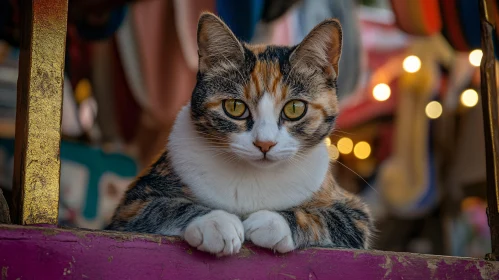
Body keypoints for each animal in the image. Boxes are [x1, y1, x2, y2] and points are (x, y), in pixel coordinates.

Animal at [107, 13, 374, 258]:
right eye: (234, 107)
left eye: (295, 108)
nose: (265, 143)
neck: (253, 177)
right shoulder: (131, 205)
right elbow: (162, 208)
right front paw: (216, 222)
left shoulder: (355, 214)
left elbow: (329, 218)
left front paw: (273, 223)